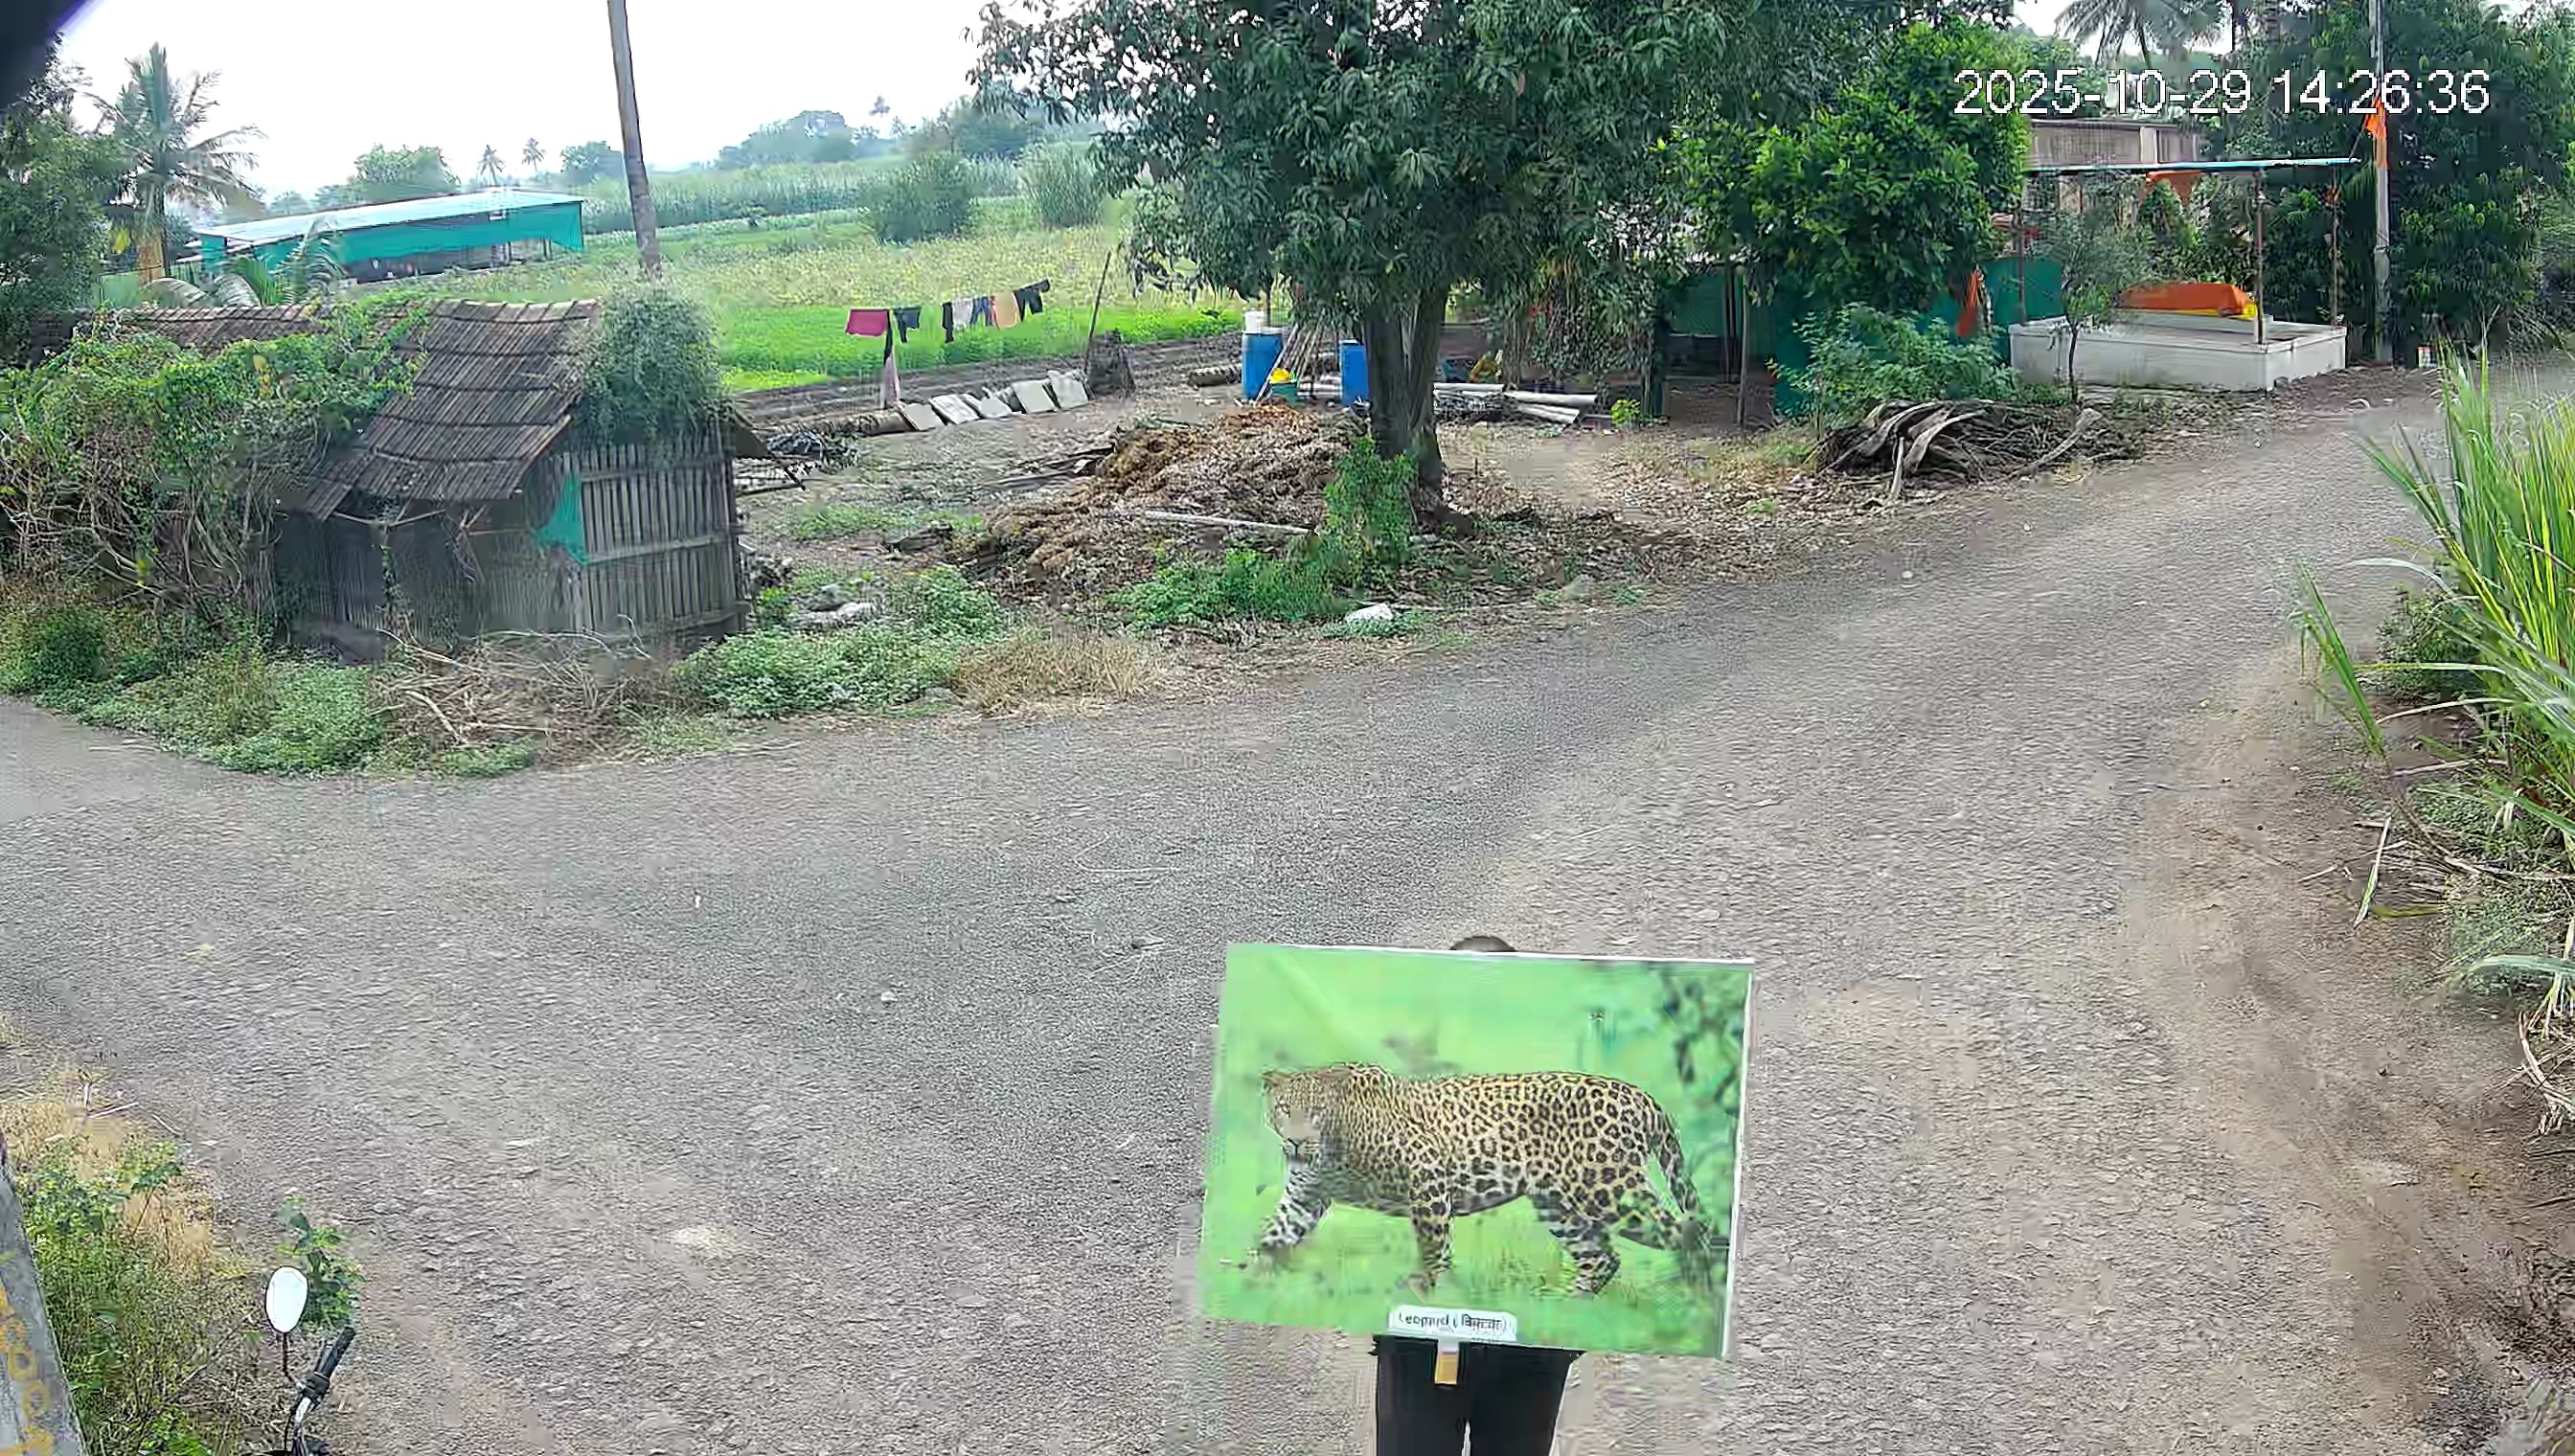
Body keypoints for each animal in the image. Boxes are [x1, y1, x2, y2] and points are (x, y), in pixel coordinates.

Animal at [1254, 1060, 1722, 1296]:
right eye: (1283, 1109)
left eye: (1315, 1112)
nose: (1296, 1141)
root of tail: (1642, 1096)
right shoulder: (1304, 1198)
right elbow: (1271, 1239)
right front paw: (1248, 1287)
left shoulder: (1427, 1175)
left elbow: (1432, 1247)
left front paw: (1424, 1296)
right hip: (1558, 1205)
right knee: (1602, 1257)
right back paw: (1562, 1310)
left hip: (1612, 1190)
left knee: (1692, 1233)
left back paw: (1700, 1304)